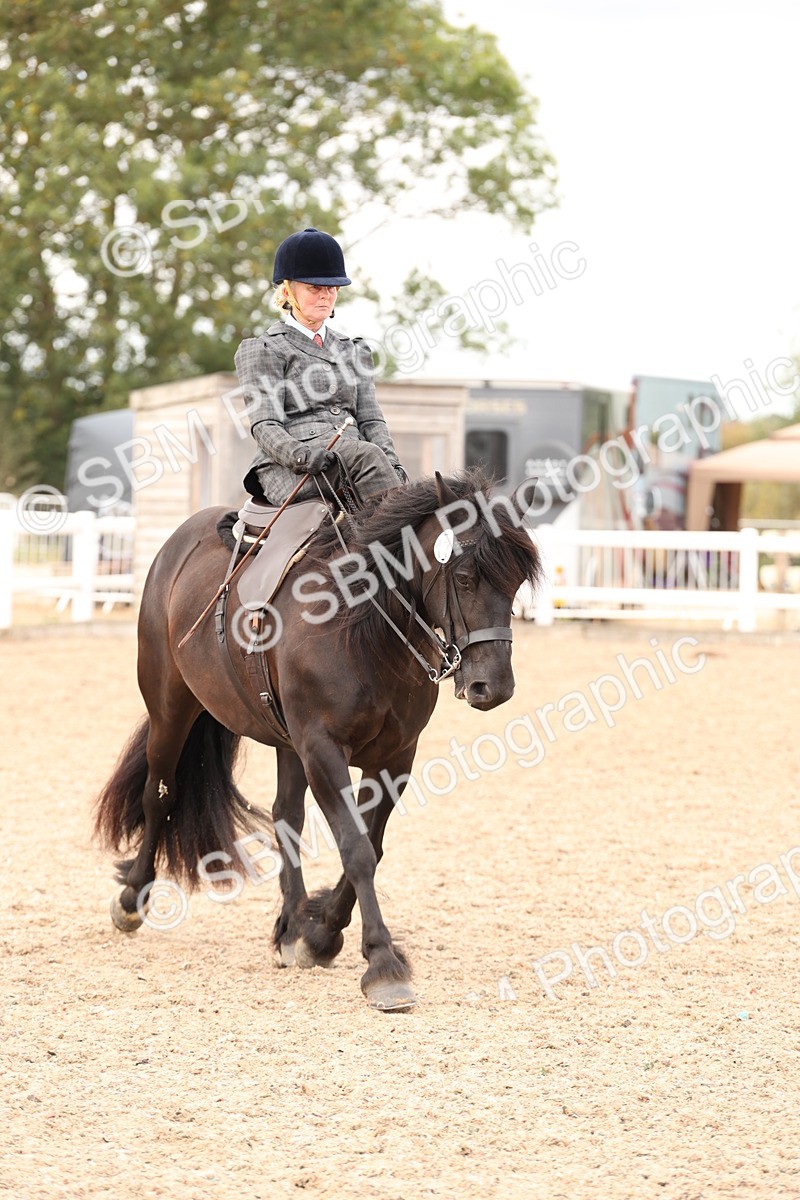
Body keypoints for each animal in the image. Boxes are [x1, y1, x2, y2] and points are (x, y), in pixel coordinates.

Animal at [94, 469, 541, 1011]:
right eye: (463, 577)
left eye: (515, 583)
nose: (492, 686)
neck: (363, 626)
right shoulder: (323, 750)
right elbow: (356, 847)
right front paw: (383, 965)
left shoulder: (394, 757)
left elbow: (372, 844)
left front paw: (320, 932)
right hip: (171, 708)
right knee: (159, 795)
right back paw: (131, 899)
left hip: (286, 741)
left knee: (286, 815)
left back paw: (290, 926)